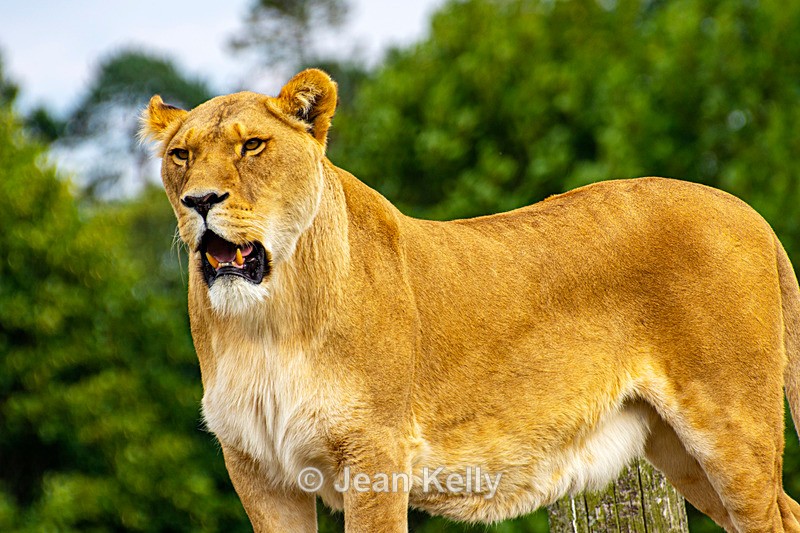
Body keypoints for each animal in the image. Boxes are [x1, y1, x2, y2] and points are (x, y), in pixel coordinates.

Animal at [140, 69, 800, 532]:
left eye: (252, 146)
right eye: (181, 155)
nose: (200, 200)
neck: (269, 320)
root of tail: (750, 212)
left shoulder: (376, 453)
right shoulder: (257, 468)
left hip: (731, 422)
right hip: (675, 446)